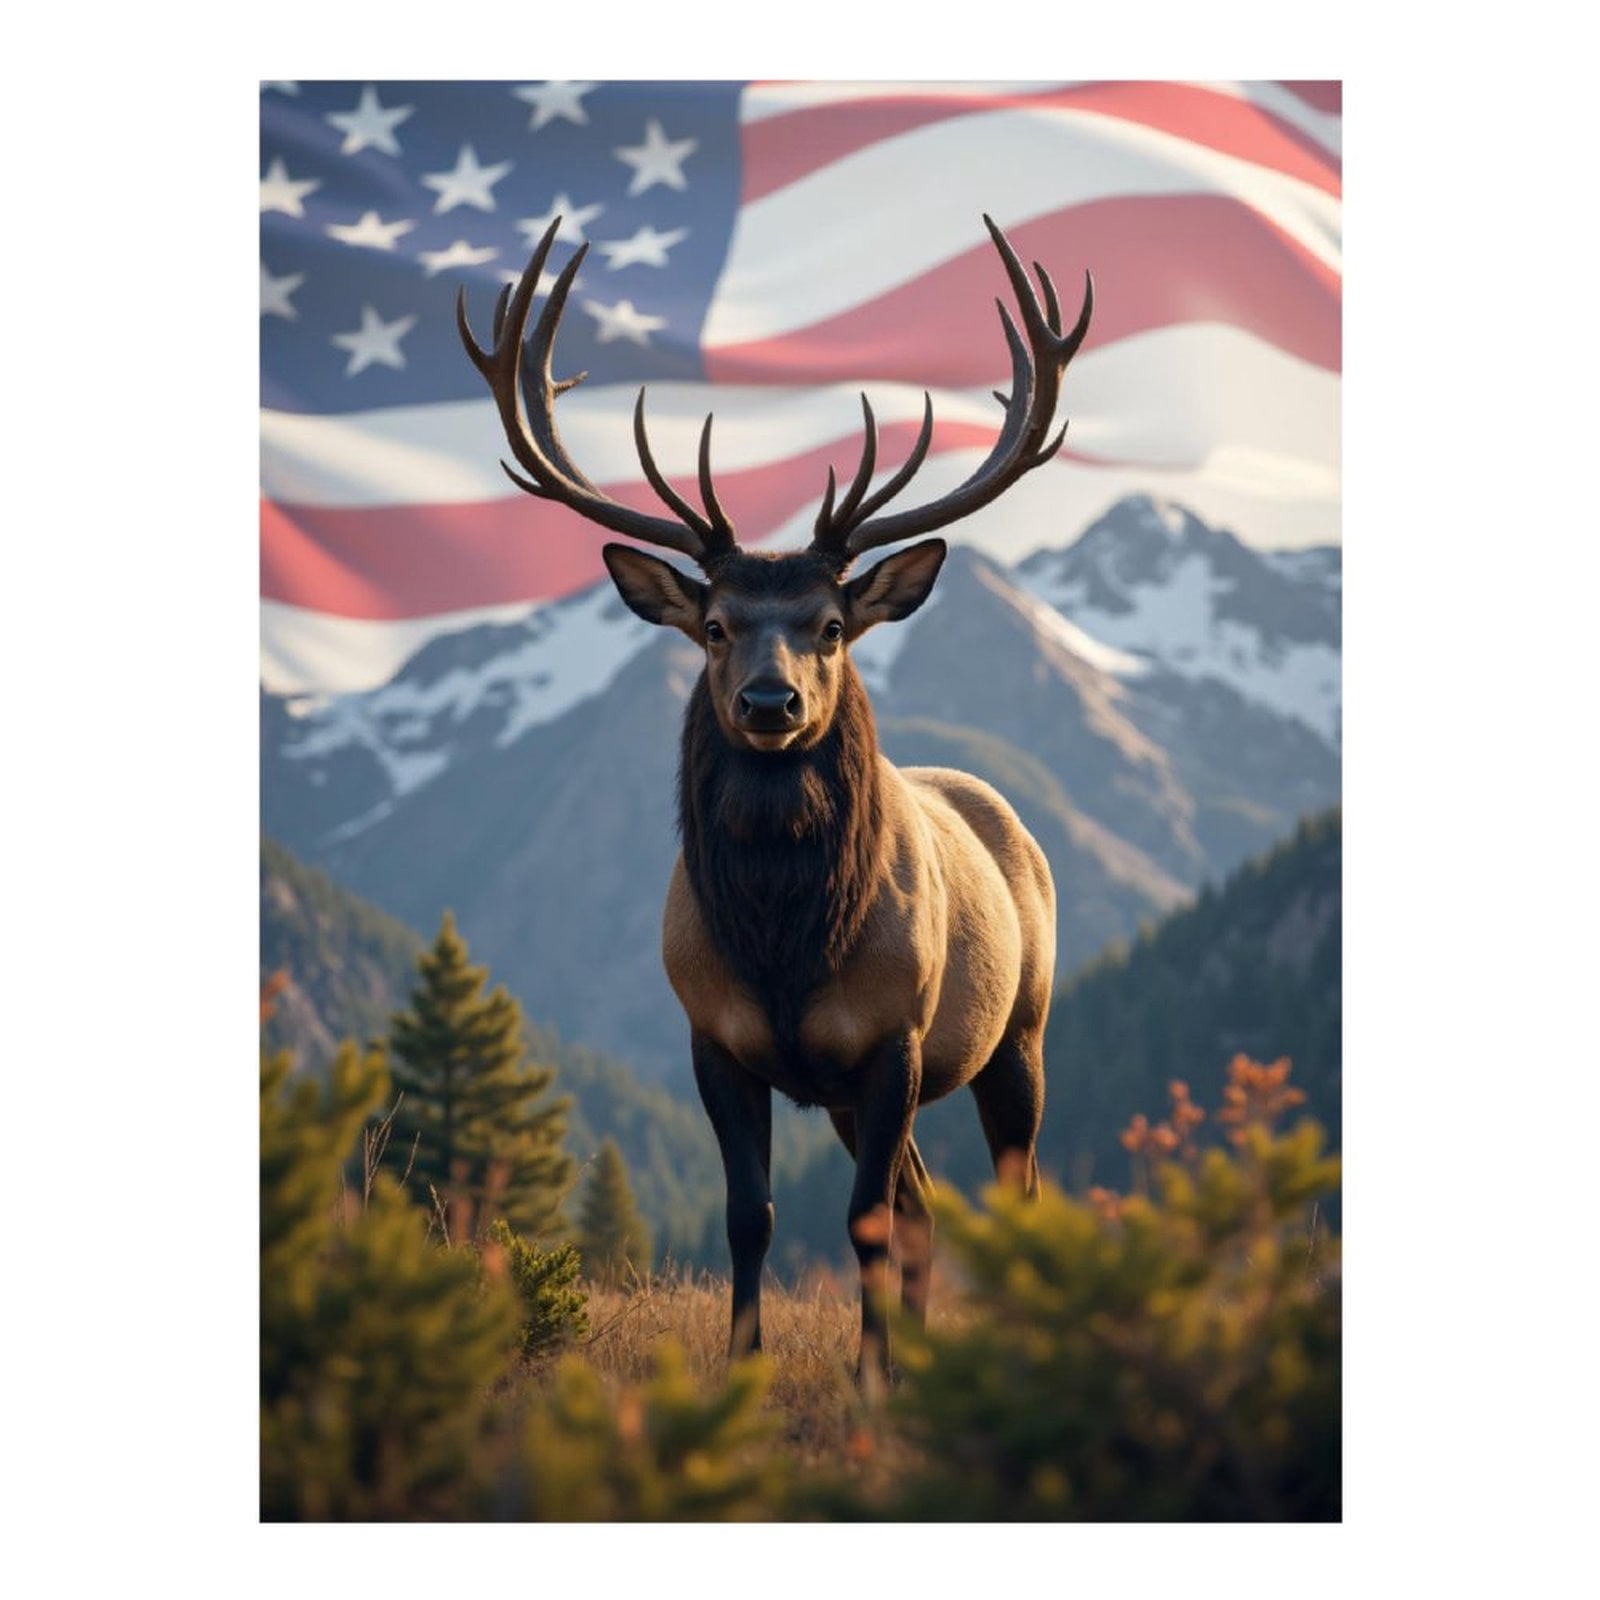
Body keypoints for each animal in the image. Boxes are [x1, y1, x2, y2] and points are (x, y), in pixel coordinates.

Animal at [457, 214, 1093, 1377]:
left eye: (830, 625)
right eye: (714, 625)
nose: (768, 699)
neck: (784, 936)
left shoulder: (894, 1035)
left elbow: (861, 1219)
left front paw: (870, 1378)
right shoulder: (715, 1039)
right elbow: (750, 1215)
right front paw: (745, 1366)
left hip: (1017, 1031)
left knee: (1007, 1192)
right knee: (924, 1202)